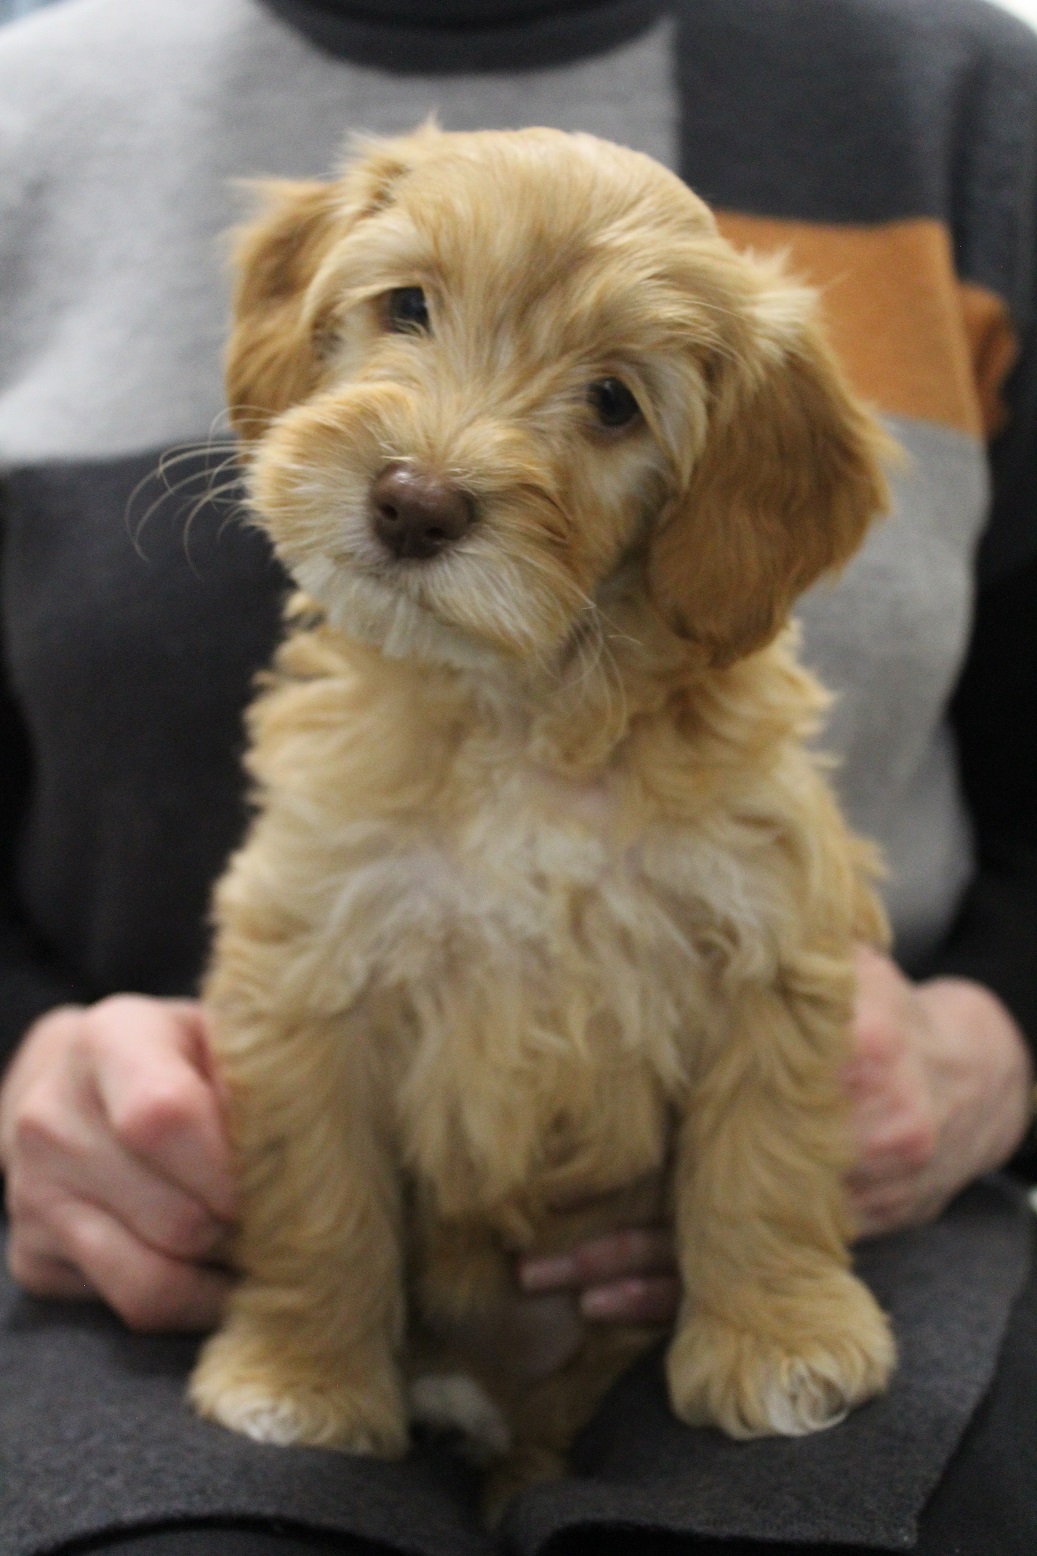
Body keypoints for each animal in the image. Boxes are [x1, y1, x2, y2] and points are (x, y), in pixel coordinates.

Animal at [191, 127, 896, 1499]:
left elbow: (763, 1157)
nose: (413, 501)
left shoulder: (768, 939)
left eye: (612, 400)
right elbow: (316, 1192)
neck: (518, 710)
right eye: (408, 306)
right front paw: (300, 1376)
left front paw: (779, 1340)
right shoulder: (308, 965)